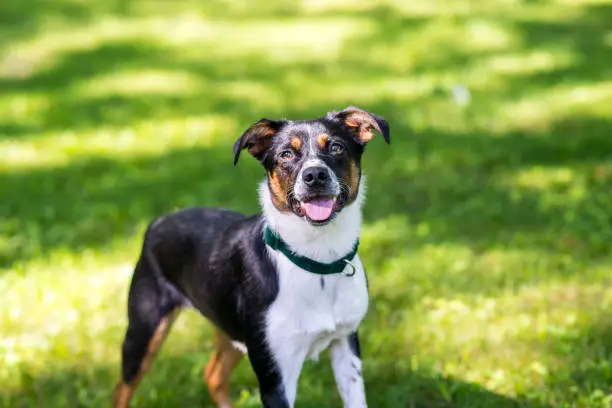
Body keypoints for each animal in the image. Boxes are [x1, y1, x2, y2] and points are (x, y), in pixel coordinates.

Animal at [113, 107, 392, 406]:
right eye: (286, 154)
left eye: (336, 147)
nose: (315, 175)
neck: (317, 260)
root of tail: (158, 221)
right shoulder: (276, 375)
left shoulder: (346, 344)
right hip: (144, 329)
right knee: (122, 388)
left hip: (229, 326)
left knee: (213, 374)